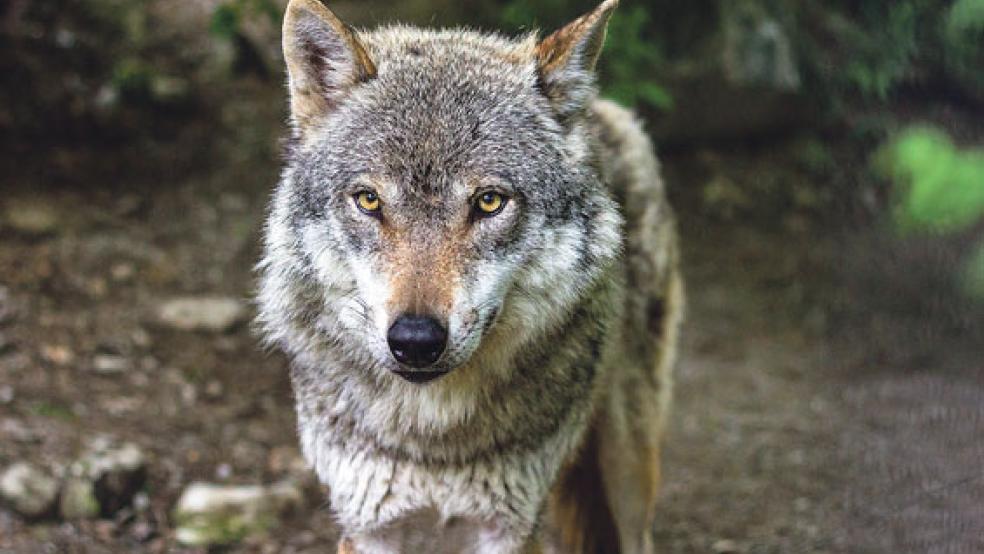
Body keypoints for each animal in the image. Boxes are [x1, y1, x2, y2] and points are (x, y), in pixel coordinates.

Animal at [256, 0, 683, 552]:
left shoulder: (510, 526)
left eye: (489, 202)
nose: (416, 340)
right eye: (368, 200)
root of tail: (604, 109)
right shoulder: (369, 525)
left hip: (627, 467)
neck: (434, 440)